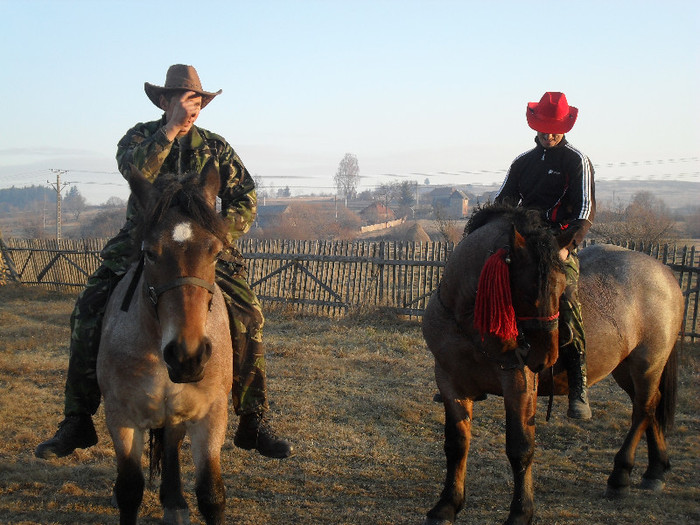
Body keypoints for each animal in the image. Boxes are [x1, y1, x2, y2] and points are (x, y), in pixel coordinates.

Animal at [96, 164, 232, 524]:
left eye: (216, 252)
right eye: (149, 253)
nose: (188, 356)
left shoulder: (211, 415)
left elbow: (211, 494)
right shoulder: (121, 418)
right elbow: (129, 491)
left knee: (171, 441)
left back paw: (174, 502)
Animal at [422, 204, 684, 524]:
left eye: (560, 291)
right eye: (523, 291)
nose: (543, 357)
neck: (468, 320)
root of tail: (664, 271)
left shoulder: (519, 384)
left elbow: (520, 447)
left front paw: (521, 512)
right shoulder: (450, 381)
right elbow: (456, 443)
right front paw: (447, 505)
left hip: (648, 364)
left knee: (643, 410)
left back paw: (620, 476)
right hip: (625, 369)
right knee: (651, 405)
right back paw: (655, 470)